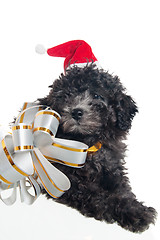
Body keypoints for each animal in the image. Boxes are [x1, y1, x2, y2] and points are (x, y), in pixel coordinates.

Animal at [38, 63, 156, 232]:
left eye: (96, 96)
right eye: (66, 95)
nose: (76, 112)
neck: (86, 142)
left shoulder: (111, 165)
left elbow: (121, 188)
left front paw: (133, 207)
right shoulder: (65, 179)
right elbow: (96, 195)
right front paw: (131, 212)